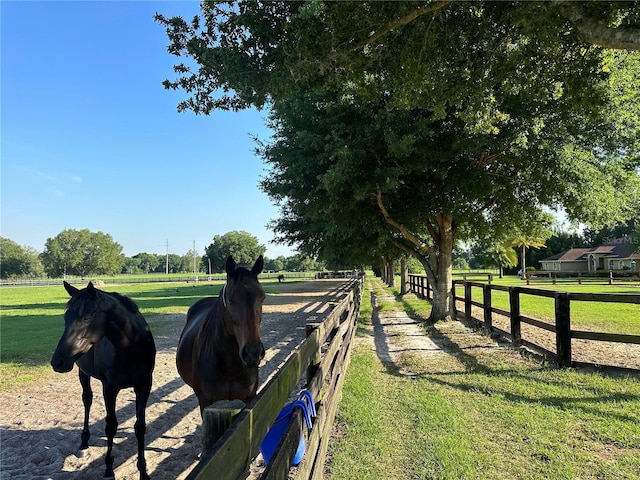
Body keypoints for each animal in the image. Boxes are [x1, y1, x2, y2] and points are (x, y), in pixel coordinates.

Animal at [50, 282, 155, 480]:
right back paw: (83, 443)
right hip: (83, 373)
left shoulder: (144, 386)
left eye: (86, 317)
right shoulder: (110, 389)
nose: (57, 362)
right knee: (87, 399)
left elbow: (140, 426)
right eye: (66, 317)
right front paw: (108, 469)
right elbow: (111, 426)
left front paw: (143, 471)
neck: (131, 349)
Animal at [176, 255, 264, 412]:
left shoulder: (249, 399)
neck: (230, 366)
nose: (253, 352)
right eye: (230, 298)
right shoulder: (205, 402)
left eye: (262, 297)